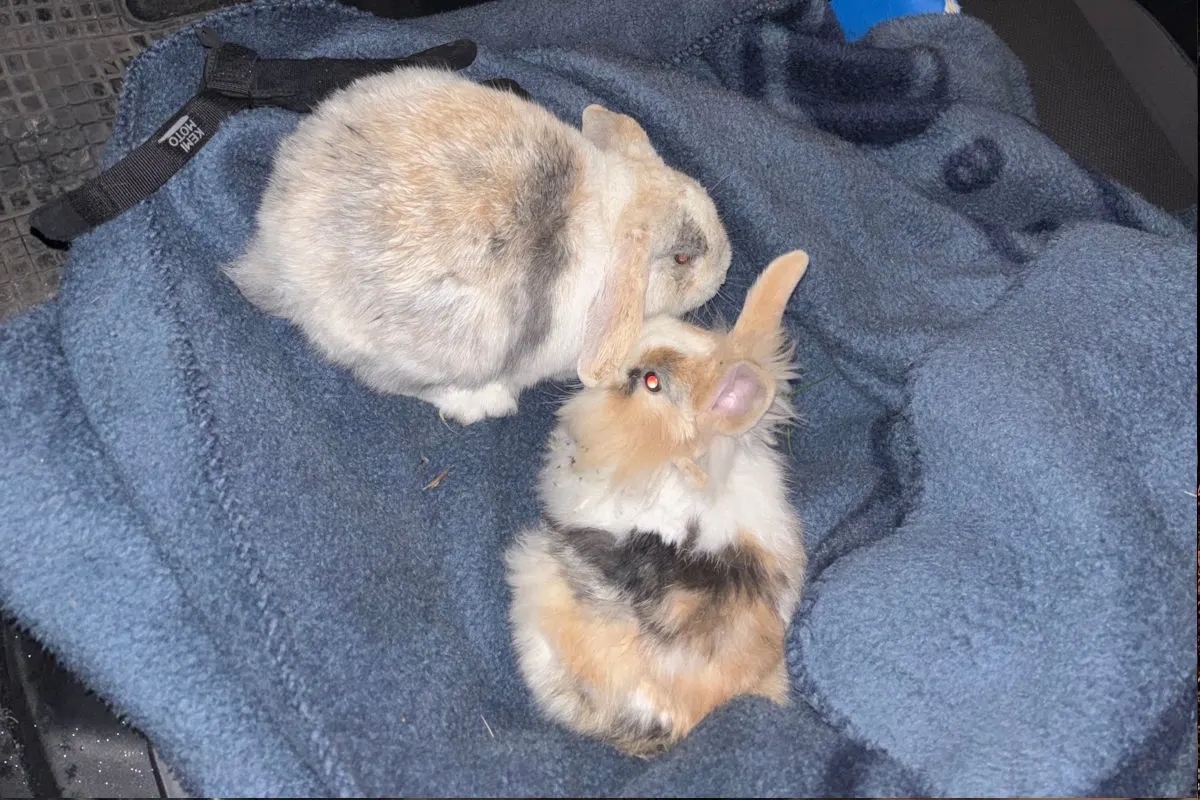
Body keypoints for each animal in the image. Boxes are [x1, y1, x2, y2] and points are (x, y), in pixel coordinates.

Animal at [224, 67, 731, 424]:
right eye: (682, 258)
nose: (726, 266)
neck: (613, 213)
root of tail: (277, 254)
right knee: (391, 381)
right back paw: (485, 402)